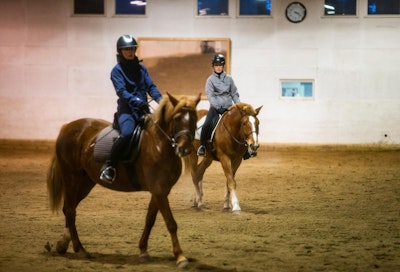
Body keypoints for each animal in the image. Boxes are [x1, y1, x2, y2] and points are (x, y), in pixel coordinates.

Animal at [46, 92, 200, 266]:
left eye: (194, 118)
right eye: (177, 118)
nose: (184, 149)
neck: (159, 145)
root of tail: (67, 127)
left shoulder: (160, 191)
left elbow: (150, 219)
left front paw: (143, 251)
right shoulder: (159, 190)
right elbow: (171, 223)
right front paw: (180, 257)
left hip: (86, 182)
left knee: (68, 208)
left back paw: (63, 244)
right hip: (71, 177)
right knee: (71, 211)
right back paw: (80, 249)